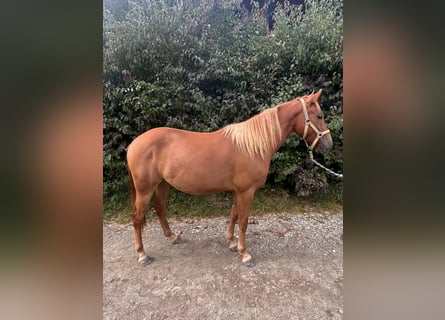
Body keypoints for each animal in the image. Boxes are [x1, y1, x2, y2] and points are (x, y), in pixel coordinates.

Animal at [126, 89, 332, 266]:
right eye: (319, 116)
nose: (329, 144)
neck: (252, 146)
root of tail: (134, 144)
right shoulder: (246, 191)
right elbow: (244, 220)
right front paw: (245, 254)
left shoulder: (237, 190)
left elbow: (233, 215)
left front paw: (232, 243)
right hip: (145, 189)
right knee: (138, 217)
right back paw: (142, 254)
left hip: (162, 184)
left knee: (159, 208)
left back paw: (172, 237)